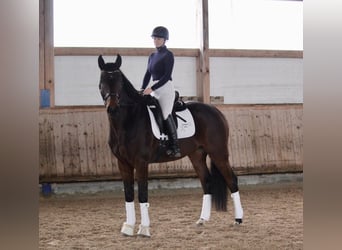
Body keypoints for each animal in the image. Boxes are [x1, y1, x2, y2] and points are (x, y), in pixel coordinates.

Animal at [99, 54, 243, 236]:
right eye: (102, 82)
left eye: (119, 82)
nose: (112, 108)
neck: (128, 121)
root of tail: (216, 111)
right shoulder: (123, 163)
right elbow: (129, 194)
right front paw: (128, 227)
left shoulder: (141, 162)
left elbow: (143, 194)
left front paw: (144, 229)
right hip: (197, 155)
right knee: (207, 182)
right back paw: (202, 220)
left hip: (218, 153)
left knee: (232, 180)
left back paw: (238, 219)